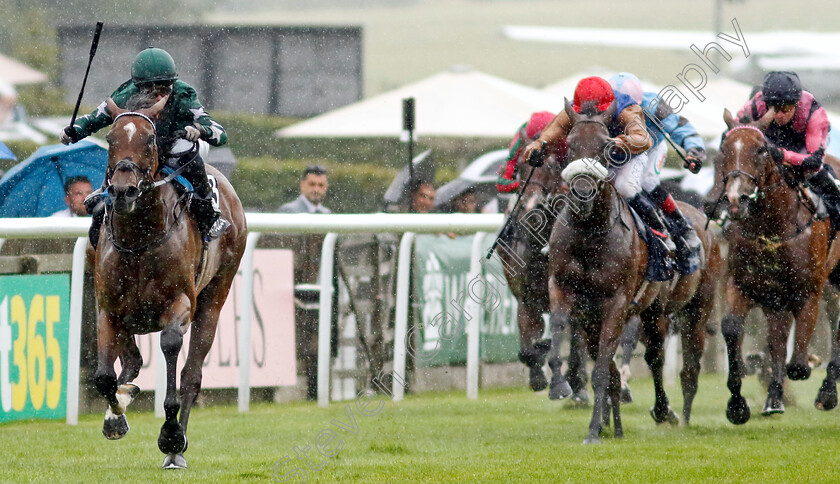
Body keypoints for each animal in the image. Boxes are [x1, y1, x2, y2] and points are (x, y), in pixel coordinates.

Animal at [94, 96, 249, 466]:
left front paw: (171, 435)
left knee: (192, 374)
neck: (138, 238)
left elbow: (170, 349)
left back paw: (176, 451)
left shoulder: (179, 305)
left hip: (215, 296)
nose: (123, 191)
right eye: (110, 138)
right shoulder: (108, 308)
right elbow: (104, 377)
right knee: (133, 360)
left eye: (150, 140)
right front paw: (116, 415)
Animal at [552, 100, 720, 444]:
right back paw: (619, 422)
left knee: (673, 360)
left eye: (605, 147)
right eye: (570, 145)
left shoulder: (617, 303)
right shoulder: (566, 292)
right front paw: (558, 383)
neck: (590, 232)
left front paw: (593, 430)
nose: (581, 193)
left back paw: (673, 413)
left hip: (683, 309)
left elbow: (603, 369)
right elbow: (560, 327)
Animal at [712, 108, 840, 422]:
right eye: (724, 149)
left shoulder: (808, 292)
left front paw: (810, 361)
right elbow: (733, 328)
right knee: (778, 338)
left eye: (761, 149)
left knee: (834, 326)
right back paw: (773, 399)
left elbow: (799, 365)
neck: (772, 227)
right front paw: (737, 404)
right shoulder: (744, 285)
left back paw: (827, 393)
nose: (735, 199)